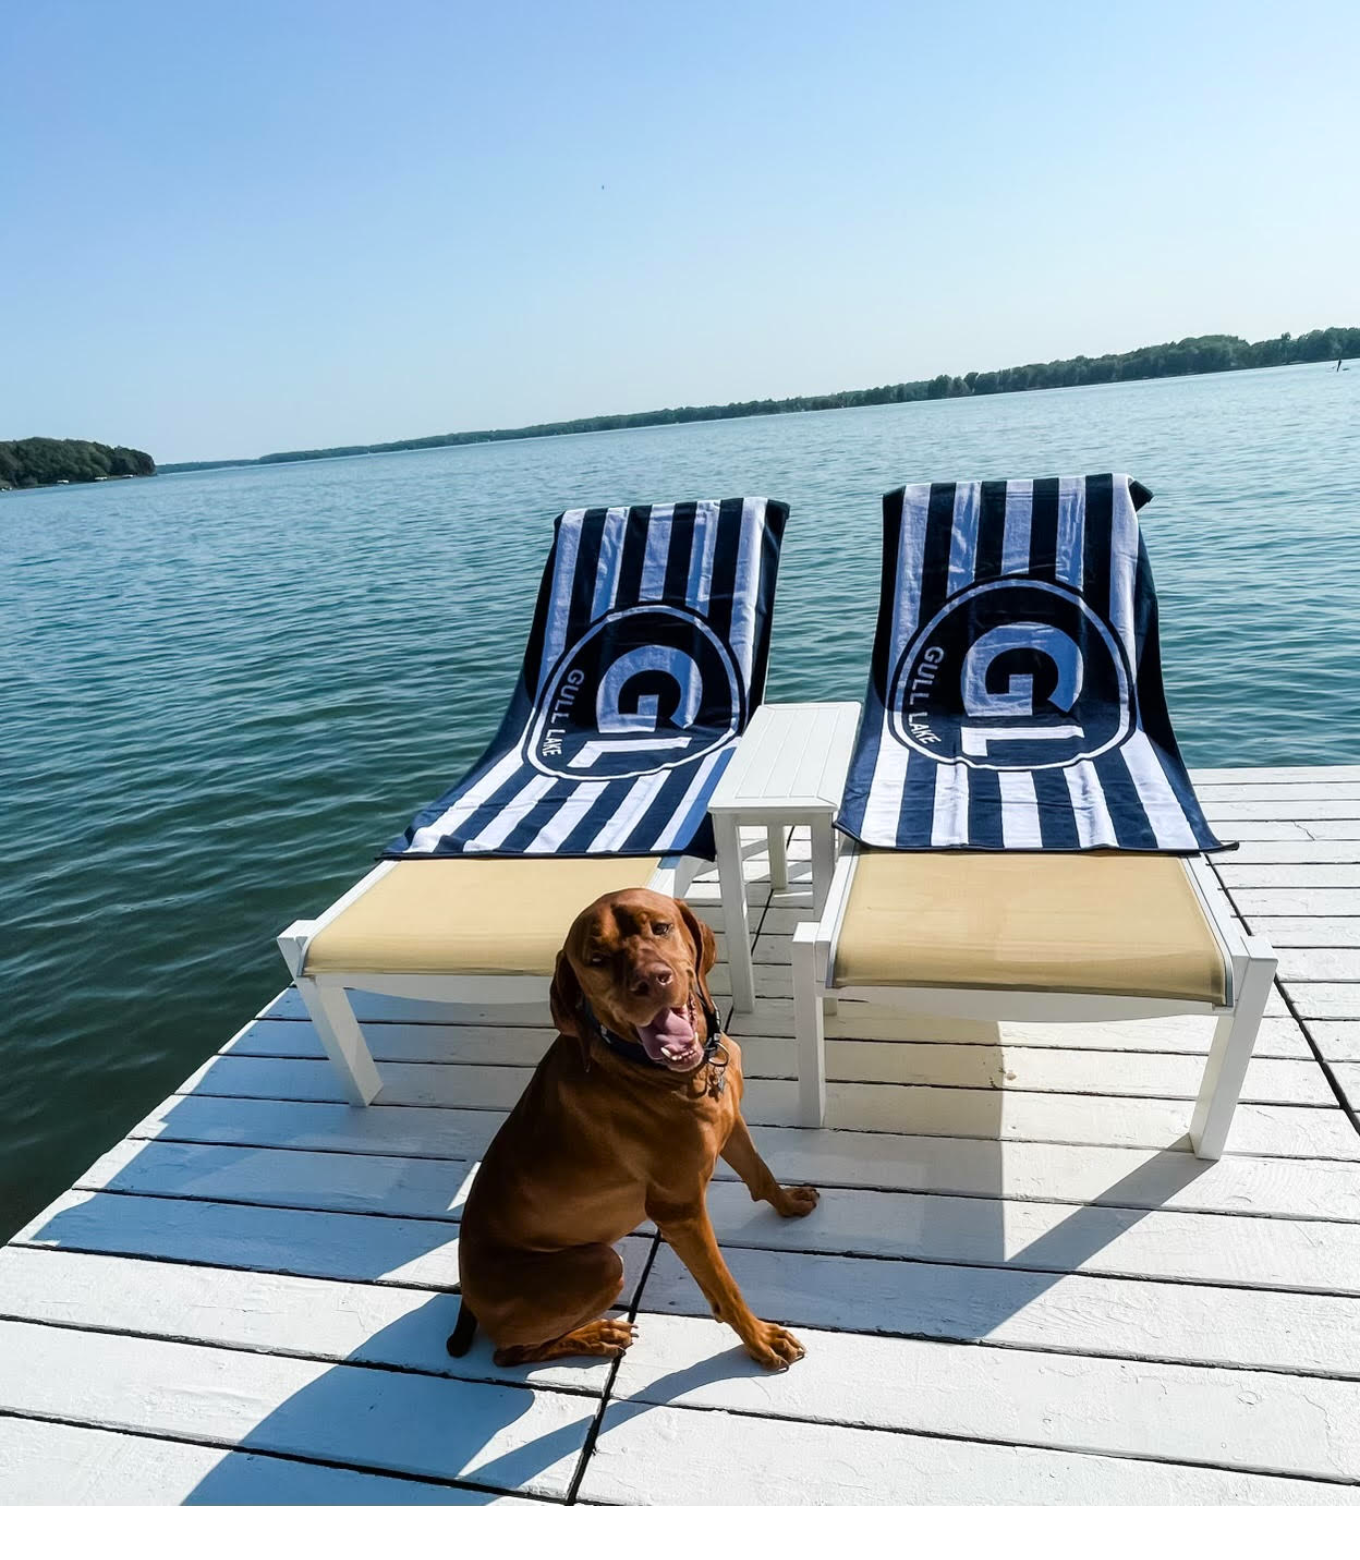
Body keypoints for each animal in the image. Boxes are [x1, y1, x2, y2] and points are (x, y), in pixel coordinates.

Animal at [452, 892, 817, 1366]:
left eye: (660, 928)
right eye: (597, 959)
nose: (653, 981)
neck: (683, 1073)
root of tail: (467, 1292)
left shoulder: (730, 1121)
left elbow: (761, 1174)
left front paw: (789, 1203)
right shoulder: (679, 1209)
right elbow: (724, 1288)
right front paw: (760, 1340)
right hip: (599, 1265)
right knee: (510, 1354)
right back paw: (595, 1334)